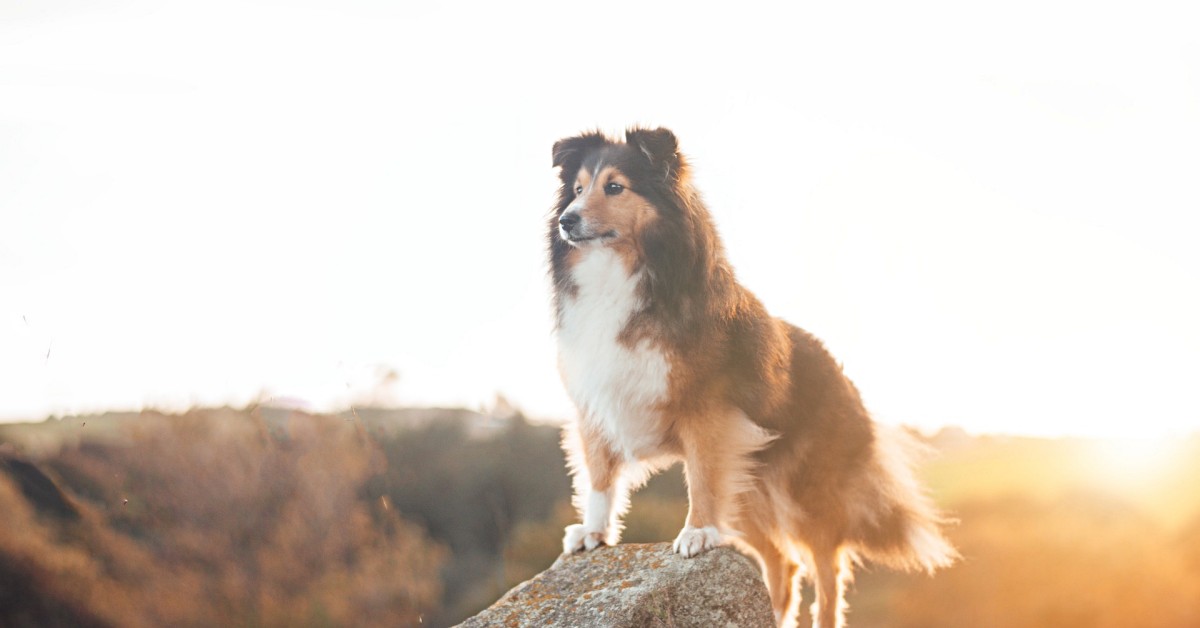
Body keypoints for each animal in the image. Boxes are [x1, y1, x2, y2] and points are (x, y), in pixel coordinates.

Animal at [547, 129, 955, 628]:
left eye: (615, 187)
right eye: (577, 189)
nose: (566, 220)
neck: (623, 274)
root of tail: (843, 376)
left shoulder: (706, 412)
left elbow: (701, 480)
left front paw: (697, 532)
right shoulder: (595, 405)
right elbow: (600, 476)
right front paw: (593, 532)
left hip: (805, 492)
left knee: (827, 570)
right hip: (745, 485)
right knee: (783, 562)